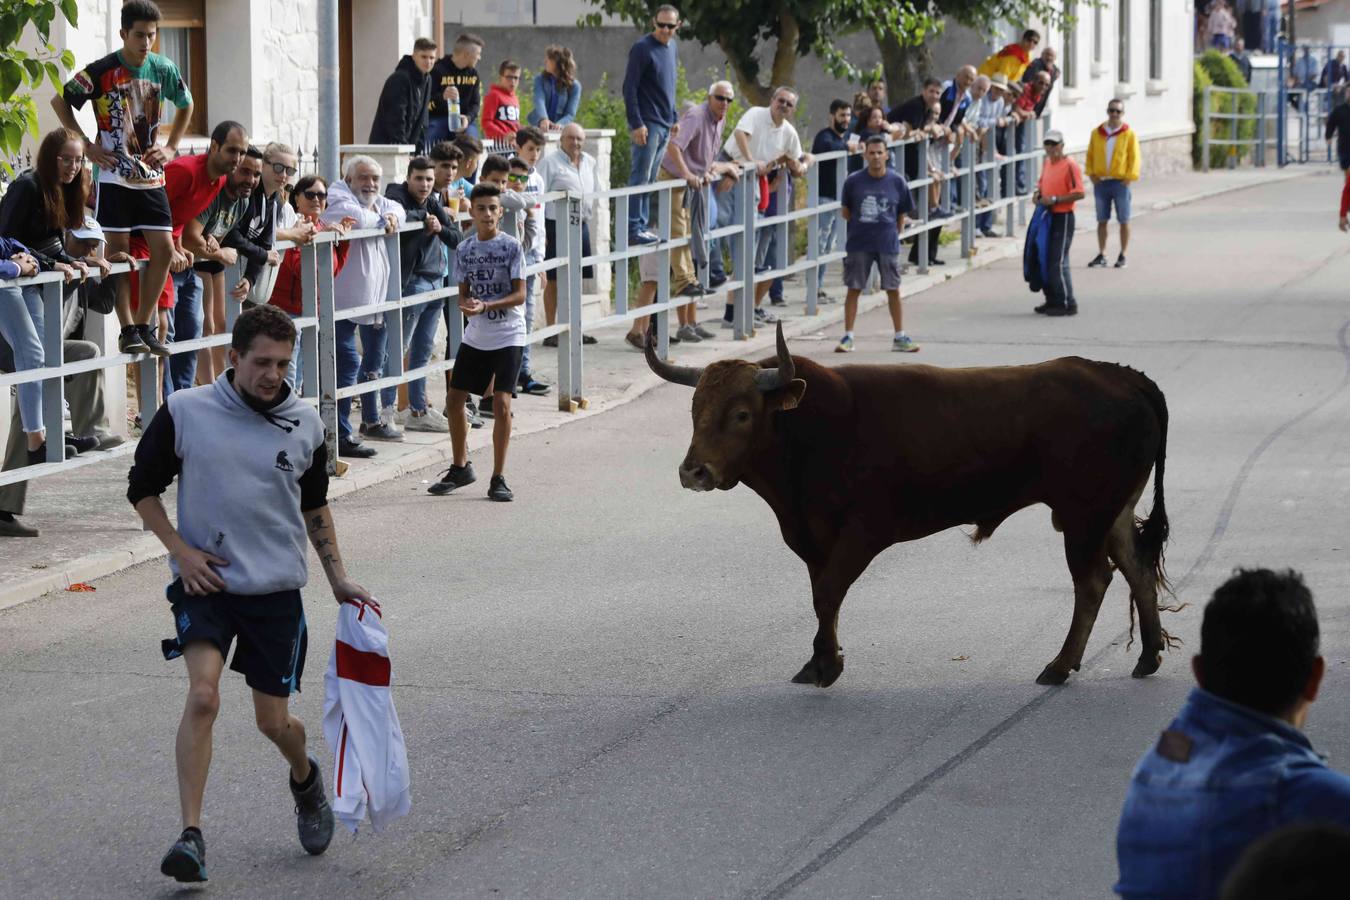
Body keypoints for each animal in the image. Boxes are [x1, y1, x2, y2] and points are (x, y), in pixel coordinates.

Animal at [645, 327, 1171, 685]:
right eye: (694, 410)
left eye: (740, 414)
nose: (693, 472)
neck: (811, 431)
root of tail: (1123, 377)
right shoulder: (813, 537)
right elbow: (821, 595)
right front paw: (818, 660)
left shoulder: (861, 532)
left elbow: (828, 593)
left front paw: (827, 665)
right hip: (1113, 511)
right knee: (1137, 568)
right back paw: (1147, 657)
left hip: (1085, 516)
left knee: (1093, 581)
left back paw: (1060, 666)